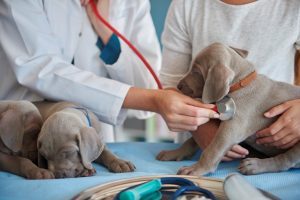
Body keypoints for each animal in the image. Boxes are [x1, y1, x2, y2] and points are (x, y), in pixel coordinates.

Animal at [157, 43, 300, 176]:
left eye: (196, 72)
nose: (178, 86)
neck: (241, 84)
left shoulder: (231, 128)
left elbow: (212, 149)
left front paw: (197, 168)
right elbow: (191, 141)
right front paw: (174, 153)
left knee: (286, 161)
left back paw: (255, 165)